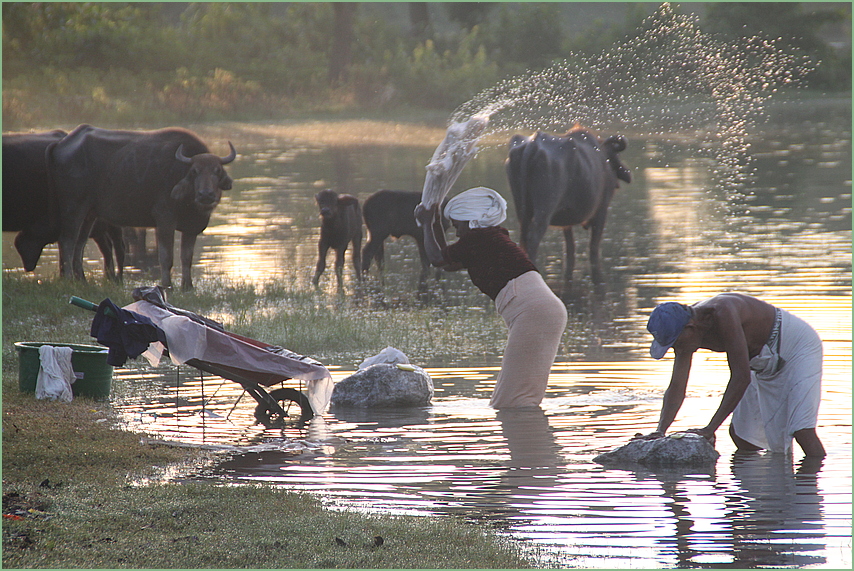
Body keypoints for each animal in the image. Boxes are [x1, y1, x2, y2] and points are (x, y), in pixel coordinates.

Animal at [48, 124, 236, 290]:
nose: (206, 194)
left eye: (217, 171)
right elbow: (166, 257)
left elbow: (186, 258)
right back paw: (69, 279)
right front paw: (167, 285)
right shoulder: (164, 220)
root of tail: (60, 145)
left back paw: (81, 280)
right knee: (67, 242)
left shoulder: (192, 228)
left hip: (89, 214)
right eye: (194, 171)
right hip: (73, 208)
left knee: (79, 244)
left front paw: (188, 286)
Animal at [504, 126, 632, 284]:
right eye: (616, 155)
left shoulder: (566, 221)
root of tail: (532, 145)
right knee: (533, 237)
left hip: (522, 209)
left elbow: (570, 247)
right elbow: (594, 247)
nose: (627, 173)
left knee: (523, 237)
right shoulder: (602, 210)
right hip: (544, 209)